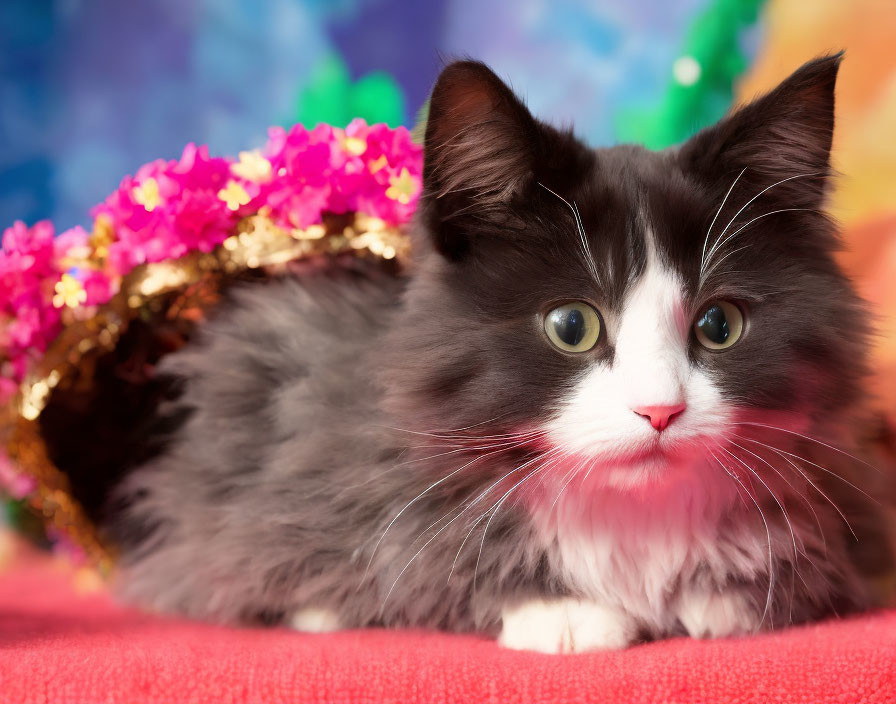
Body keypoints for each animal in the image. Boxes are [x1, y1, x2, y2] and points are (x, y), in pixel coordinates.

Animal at [89, 56, 888, 656]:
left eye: (719, 325)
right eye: (572, 325)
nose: (660, 410)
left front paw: (728, 593)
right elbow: (414, 555)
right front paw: (560, 609)